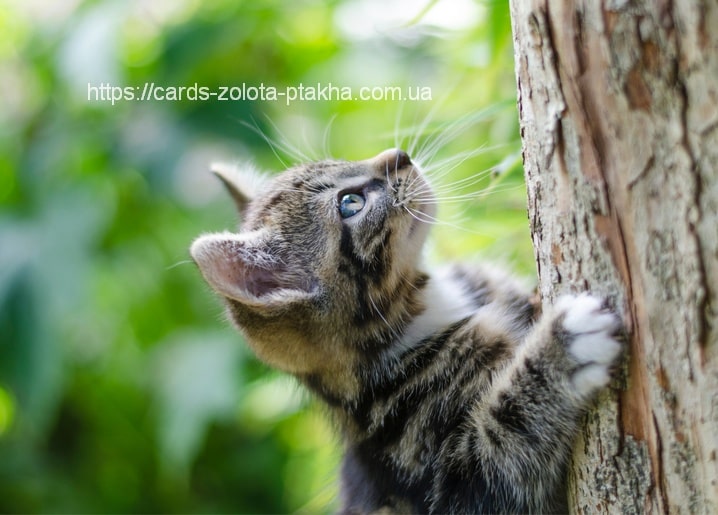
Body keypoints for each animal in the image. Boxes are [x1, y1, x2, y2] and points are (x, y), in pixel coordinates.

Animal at [191, 147, 624, 512]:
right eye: (350, 203)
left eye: (340, 161)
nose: (399, 155)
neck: (430, 305)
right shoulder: (451, 483)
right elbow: (505, 440)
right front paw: (563, 347)